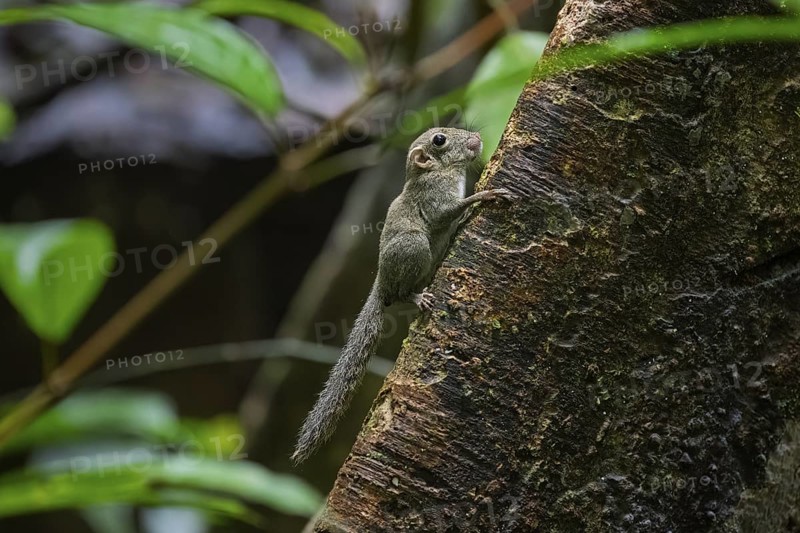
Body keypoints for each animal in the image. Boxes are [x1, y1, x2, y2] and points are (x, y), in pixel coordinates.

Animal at [291, 127, 513, 464]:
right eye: (439, 140)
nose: (476, 137)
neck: (442, 171)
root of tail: (381, 283)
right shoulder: (434, 197)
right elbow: (446, 212)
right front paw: (483, 196)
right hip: (414, 247)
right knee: (400, 294)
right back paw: (417, 297)